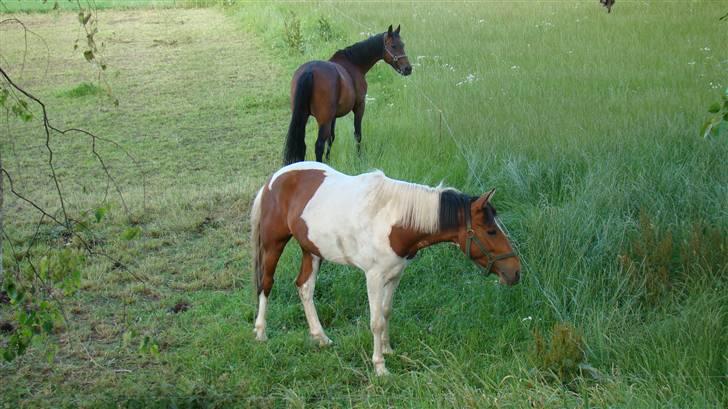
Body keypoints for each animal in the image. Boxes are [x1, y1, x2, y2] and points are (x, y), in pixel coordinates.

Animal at [252, 161, 524, 374]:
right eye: (490, 231)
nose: (515, 272)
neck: (395, 222)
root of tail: (274, 179)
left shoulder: (395, 274)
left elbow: (385, 312)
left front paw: (388, 350)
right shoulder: (373, 277)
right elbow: (375, 321)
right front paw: (380, 366)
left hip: (312, 250)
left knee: (304, 288)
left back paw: (321, 338)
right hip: (274, 243)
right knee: (266, 284)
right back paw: (261, 333)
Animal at [282, 23, 412, 163]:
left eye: (403, 45)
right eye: (393, 46)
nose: (408, 69)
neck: (353, 64)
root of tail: (310, 71)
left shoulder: (333, 117)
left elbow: (331, 138)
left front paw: (328, 160)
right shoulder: (359, 106)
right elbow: (357, 134)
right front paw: (359, 158)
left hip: (303, 116)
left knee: (304, 144)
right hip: (323, 121)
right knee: (319, 145)